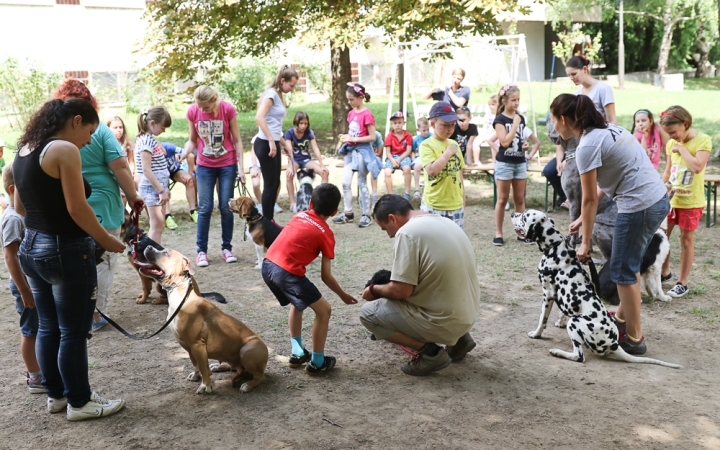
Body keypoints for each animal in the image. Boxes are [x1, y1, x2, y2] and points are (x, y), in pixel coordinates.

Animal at [138, 246, 268, 394]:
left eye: (165, 253)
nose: (148, 246)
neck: (182, 297)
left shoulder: (197, 345)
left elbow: (203, 367)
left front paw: (205, 386)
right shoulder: (189, 347)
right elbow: (196, 365)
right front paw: (196, 376)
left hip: (247, 350)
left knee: (260, 376)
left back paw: (248, 385)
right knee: (235, 367)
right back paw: (218, 367)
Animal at [512, 209, 680, 368]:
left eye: (525, 216)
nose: (513, 213)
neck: (555, 248)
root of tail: (614, 343)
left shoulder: (548, 294)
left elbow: (542, 320)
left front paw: (536, 334)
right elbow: (561, 312)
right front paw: (559, 321)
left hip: (574, 322)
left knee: (579, 356)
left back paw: (557, 352)